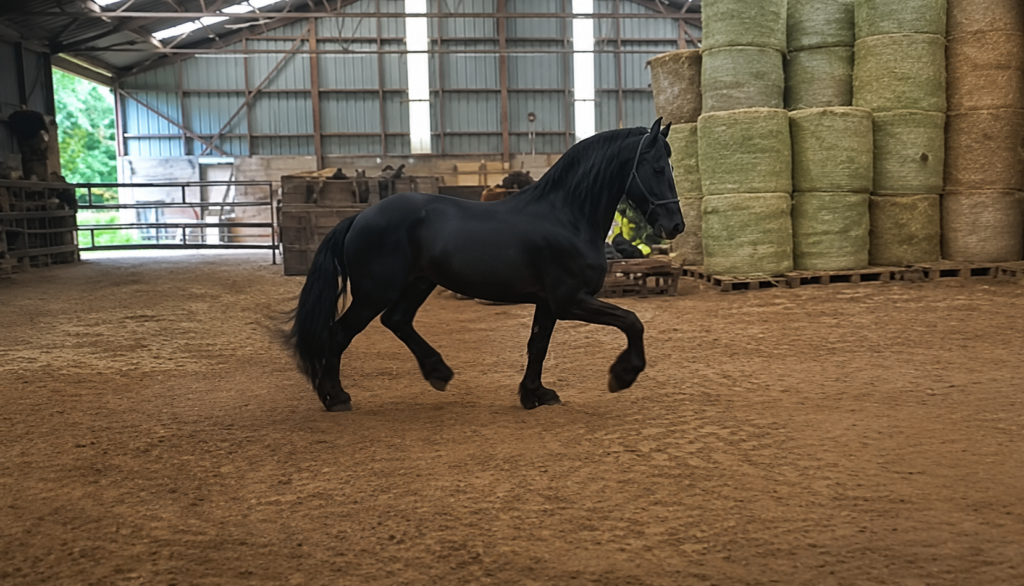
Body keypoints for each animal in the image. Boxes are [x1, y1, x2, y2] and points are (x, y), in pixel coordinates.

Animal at [289, 118, 684, 412]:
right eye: (657, 168)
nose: (675, 226)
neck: (566, 216)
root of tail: (358, 218)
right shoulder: (570, 300)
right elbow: (631, 321)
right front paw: (622, 375)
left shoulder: (548, 304)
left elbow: (537, 345)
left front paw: (535, 394)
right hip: (375, 293)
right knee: (339, 334)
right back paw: (336, 398)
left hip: (418, 283)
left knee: (396, 321)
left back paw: (438, 372)